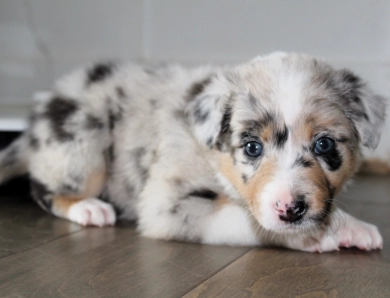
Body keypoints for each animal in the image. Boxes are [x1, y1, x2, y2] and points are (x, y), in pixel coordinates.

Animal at [0, 53, 386, 251]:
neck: (213, 159)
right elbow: (244, 219)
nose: (290, 209)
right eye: (252, 147)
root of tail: (37, 117)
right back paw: (88, 208)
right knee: (45, 188)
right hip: (83, 146)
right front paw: (312, 236)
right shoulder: (166, 204)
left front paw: (352, 227)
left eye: (324, 145)